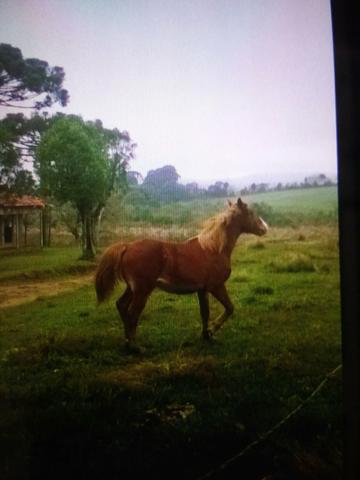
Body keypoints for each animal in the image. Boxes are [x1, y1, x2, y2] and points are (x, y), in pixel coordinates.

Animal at [95, 197, 268, 350]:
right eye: (251, 212)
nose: (265, 228)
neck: (213, 248)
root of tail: (127, 246)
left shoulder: (202, 290)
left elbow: (205, 313)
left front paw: (206, 335)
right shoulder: (216, 286)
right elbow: (230, 308)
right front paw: (212, 329)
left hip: (132, 289)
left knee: (121, 305)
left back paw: (127, 342)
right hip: (142, 290)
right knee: (132, 313)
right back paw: (134, 346)